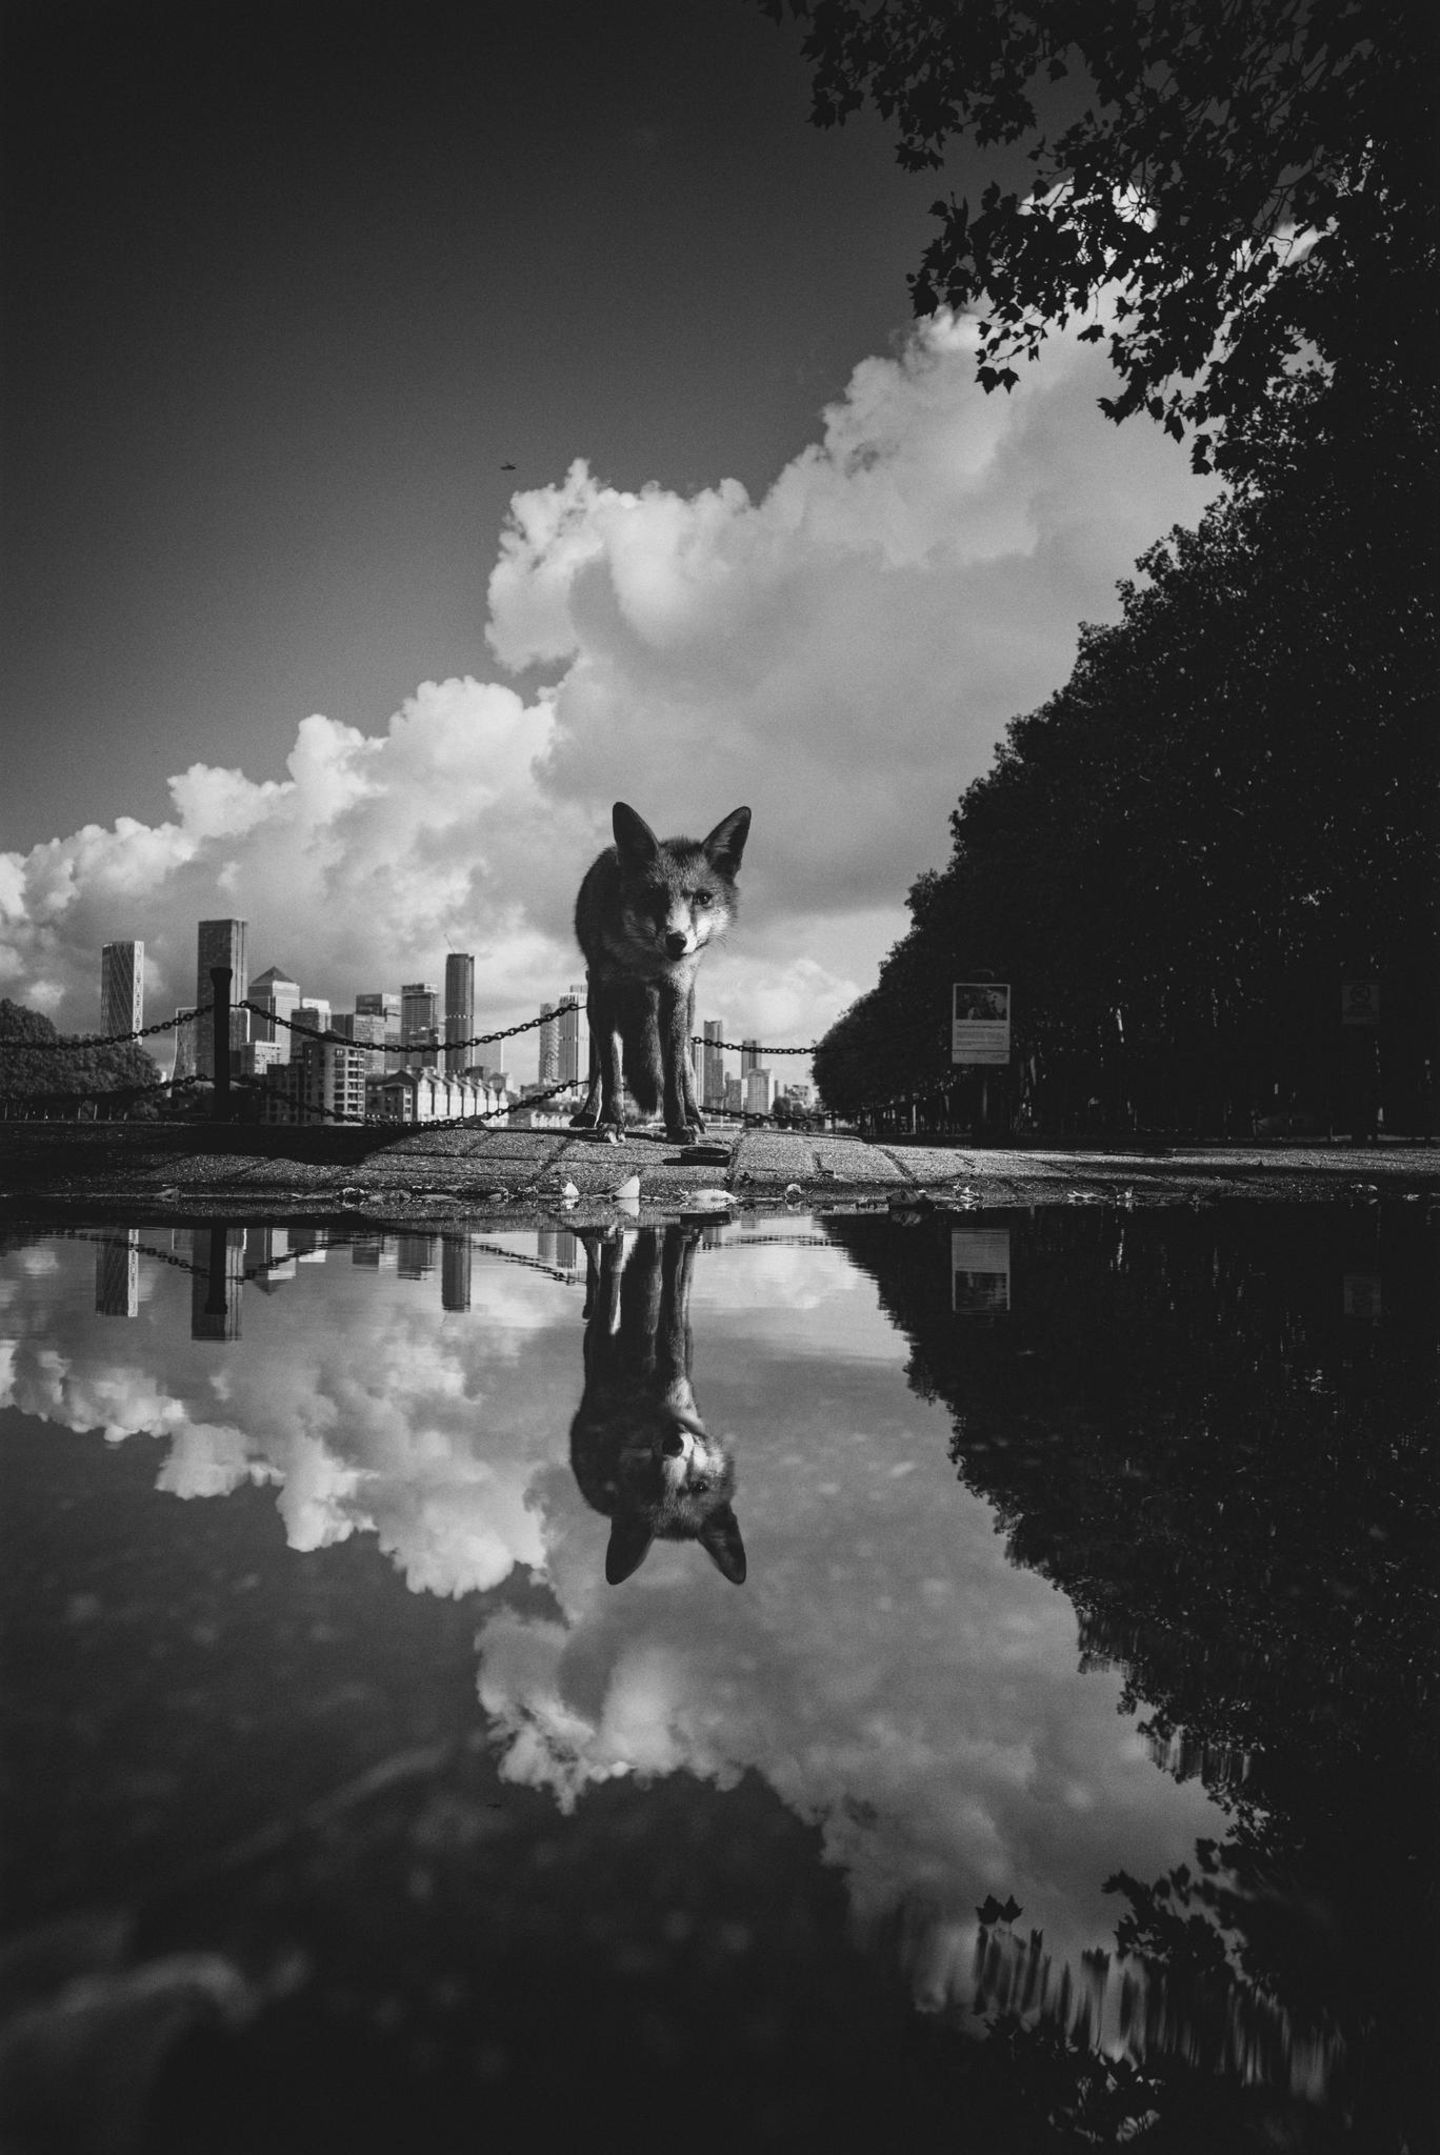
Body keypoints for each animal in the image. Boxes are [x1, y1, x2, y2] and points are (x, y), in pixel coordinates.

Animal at [570, 1225, 746, 1586]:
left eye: (699, 1487)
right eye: (653, 1483)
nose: (673, 1444)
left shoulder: (673, 1367)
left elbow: (667, 1304)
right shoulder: (610, 1361)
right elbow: (634, 1293)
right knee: (627, 1281)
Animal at [571, 800, 751, 1143]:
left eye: (703, 898)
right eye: (652, 895)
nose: (677, 940)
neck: (645, 962)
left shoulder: (674, 993)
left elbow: (673, 1073)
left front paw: (678, 1124)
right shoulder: (603, 992)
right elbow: (612, 1070)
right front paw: (611, 1121)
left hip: (687, 1012)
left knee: (687, 1068)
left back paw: (695, 1116)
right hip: (592, 1006)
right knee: (597, 1067)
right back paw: (589, 1113)